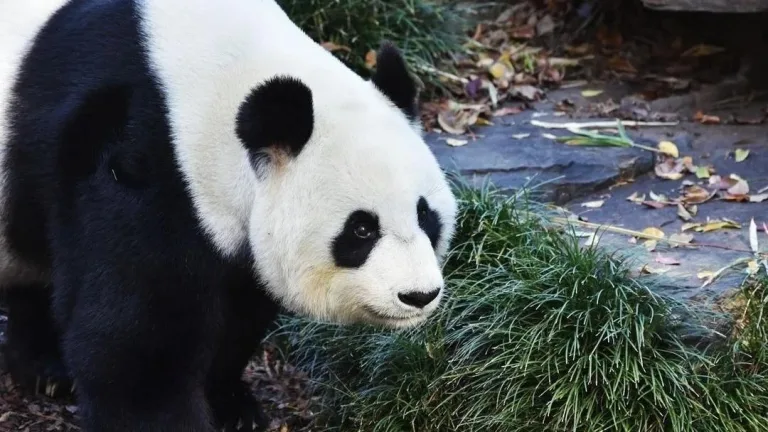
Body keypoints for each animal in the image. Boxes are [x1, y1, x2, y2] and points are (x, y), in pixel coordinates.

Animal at [0, 0, 459, 431]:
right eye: (362, 229)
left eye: (425, 216)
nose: (418, 295)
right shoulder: (137, 158)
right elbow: (137, 338)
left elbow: (238, 312)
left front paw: (232, 405)